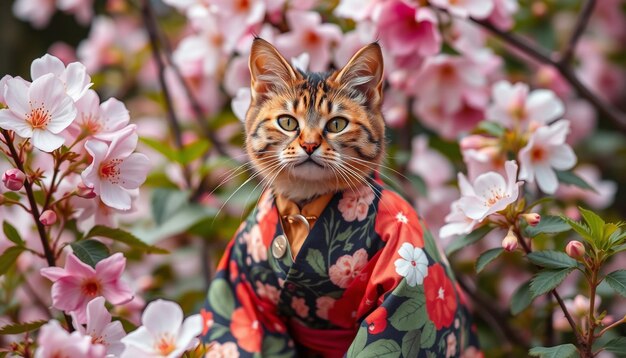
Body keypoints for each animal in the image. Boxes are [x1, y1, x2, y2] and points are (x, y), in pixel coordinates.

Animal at [200, 39, 478, 358]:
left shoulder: (409, 275)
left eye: (336, 125)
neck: (305, 206)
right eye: (287, 122)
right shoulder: (241, 283)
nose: (309, 145)